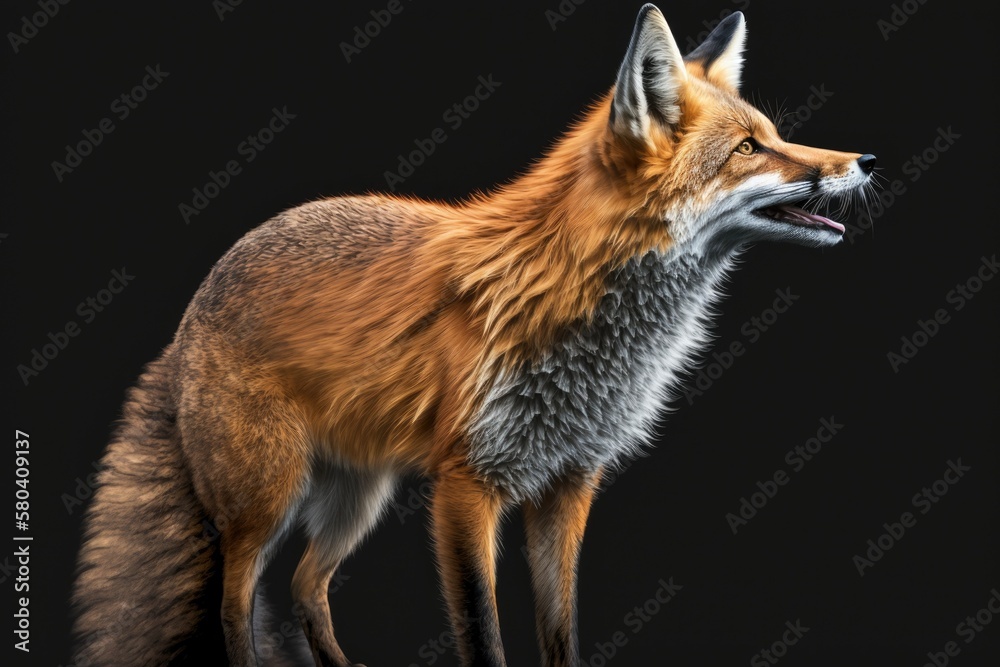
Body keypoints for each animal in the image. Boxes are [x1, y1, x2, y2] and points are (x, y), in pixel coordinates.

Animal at [71, 5, 876, 667]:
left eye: (776, 137)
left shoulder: (569, 481)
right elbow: (483, 637)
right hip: (265, 499)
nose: (865, 161)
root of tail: (198, 300)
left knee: (304, 586)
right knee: (237, 604)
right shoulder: (467, 484)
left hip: (357, 499)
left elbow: (560, 634)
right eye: (748, 149)